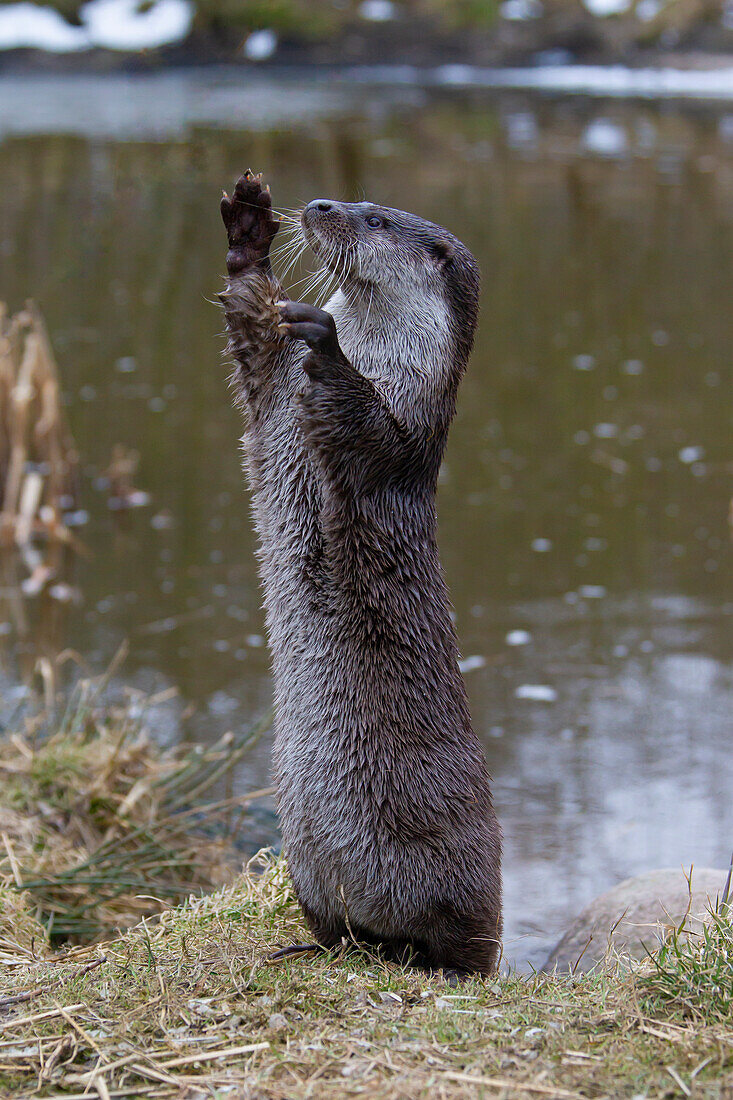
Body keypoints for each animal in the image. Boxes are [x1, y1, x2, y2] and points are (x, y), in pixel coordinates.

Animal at [220, 167, 499, 976]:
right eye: (346, 198)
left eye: (373, 217)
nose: (318, 205)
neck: (386, 357)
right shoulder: (271, 389)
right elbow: (252, 331)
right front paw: (247, 230)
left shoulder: (400, 441)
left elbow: (368, 428)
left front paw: (329, 345)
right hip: (307, 863)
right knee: (339, 926)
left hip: (459, 870)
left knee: (469, 943)